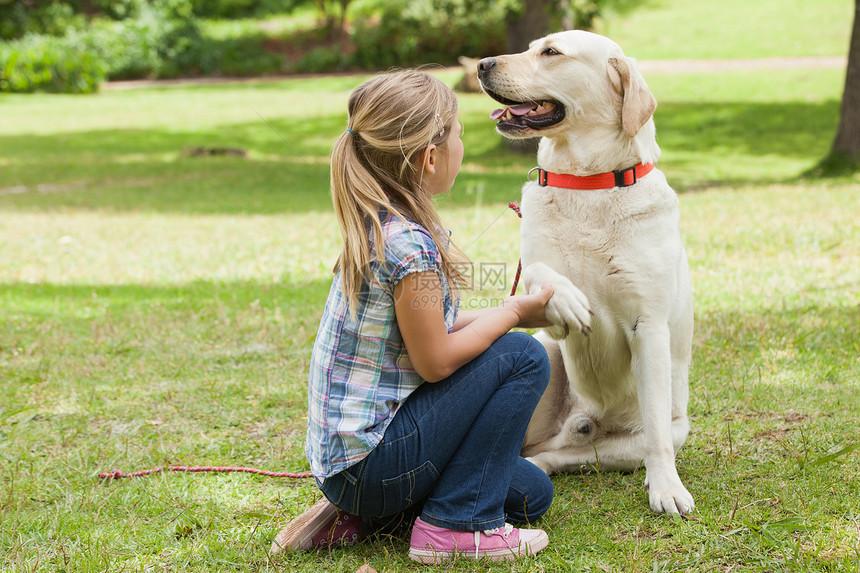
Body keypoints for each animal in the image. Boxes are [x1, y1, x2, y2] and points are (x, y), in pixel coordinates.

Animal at [480, 30, 696, 512]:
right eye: (530, 47)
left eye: (551, 53)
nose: (481, 64)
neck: (588, 183)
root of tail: (580, 421)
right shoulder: (535, 274)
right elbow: (545, 273)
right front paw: (571, 300)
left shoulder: (649, 327)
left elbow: (656, 434)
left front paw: (668, 490)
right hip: (546, 353)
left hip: (657, 434)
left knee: (564, 455)